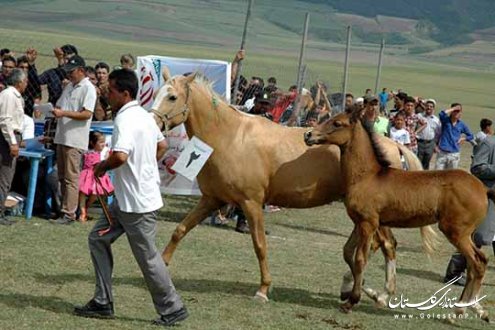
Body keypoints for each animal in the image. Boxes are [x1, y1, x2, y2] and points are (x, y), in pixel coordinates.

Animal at [153, 71, 432, 302]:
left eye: (172, 96)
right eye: (156, 93)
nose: (153, 124)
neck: (230, 137)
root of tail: (394, 145)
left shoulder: (251, 203)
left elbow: (260, 245)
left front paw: (263, 289)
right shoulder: (212, 199)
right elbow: (180, 230)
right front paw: (161, 265)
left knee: (387, 245)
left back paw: (381, 293)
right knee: (363, 247)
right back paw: (352, 286)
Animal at [304, 109, 494, 320]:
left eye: (337, 123)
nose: (308, 135)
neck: (367, 177)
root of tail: (483, 188)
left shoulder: (367, 223)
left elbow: (360, 258)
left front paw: (352, 300)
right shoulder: (361, 222)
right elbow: (348, 252)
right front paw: (364, 292)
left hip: (456, 232)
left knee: (477, 263)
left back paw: (460, 311)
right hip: (463, 234)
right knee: (478, 262)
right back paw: (469, 309)